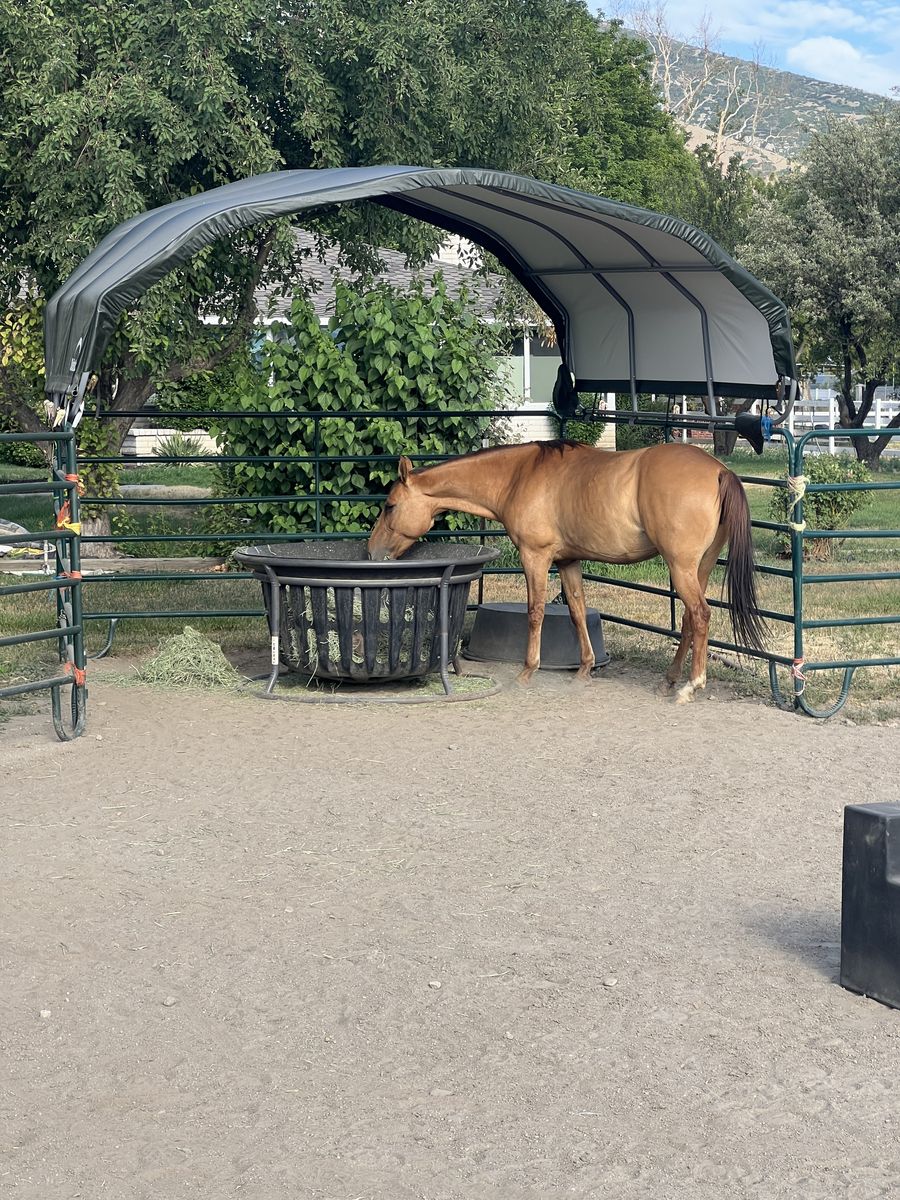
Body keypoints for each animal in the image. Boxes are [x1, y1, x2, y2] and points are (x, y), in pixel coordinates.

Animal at [367, 440, 766, 702]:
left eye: (390, 507)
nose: (372, 553)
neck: (519, 475)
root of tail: (720, 470)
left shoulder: (536, 558)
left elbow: (535, 612)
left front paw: (527, 671)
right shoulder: (568, 561)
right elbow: (575, 611)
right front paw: (585, 669)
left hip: (681, 567)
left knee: (700, 615)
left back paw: (690, 685)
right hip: (698, 567)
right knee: (688, 619)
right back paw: (669, 680)